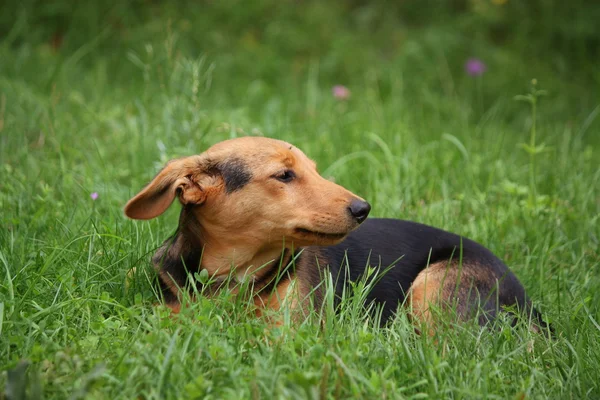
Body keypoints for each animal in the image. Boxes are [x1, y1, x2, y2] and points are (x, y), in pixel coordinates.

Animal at [124, 137, 552, 332]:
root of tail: (528, 303)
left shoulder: (287, 335)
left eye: (314, 170)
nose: (363, 209)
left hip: (434, 286)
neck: (231, 272)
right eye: (284, 175)